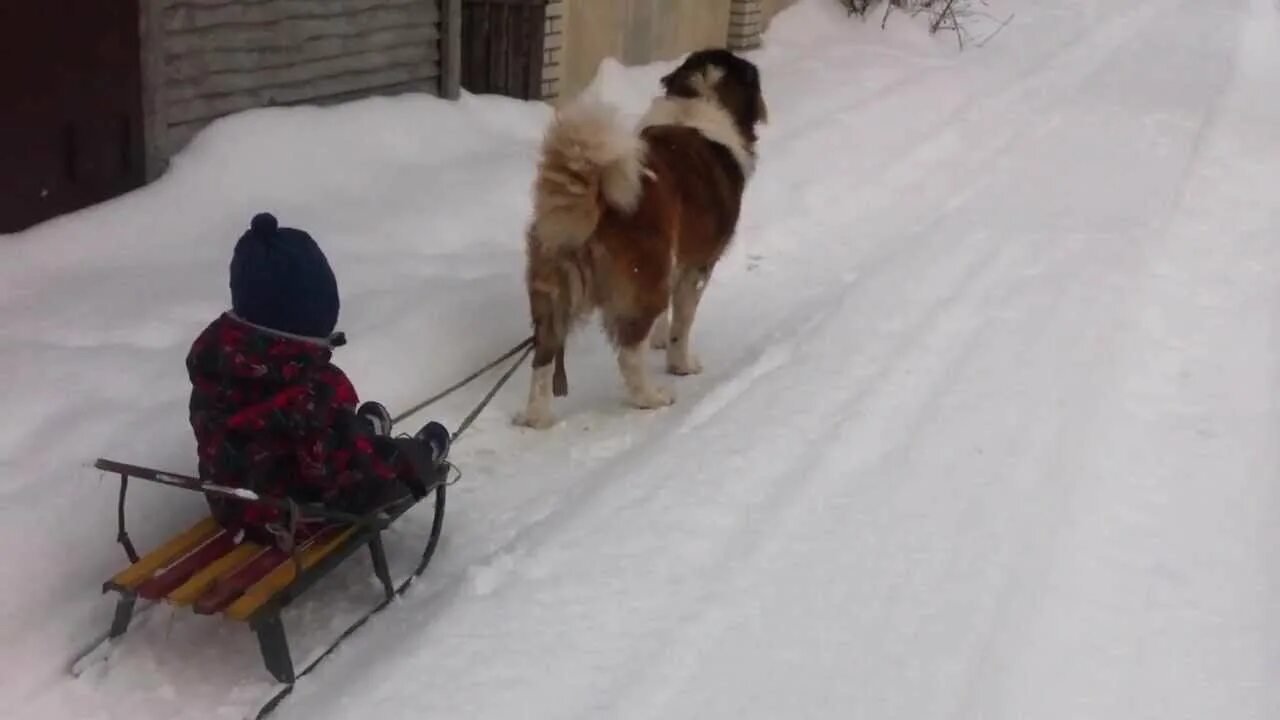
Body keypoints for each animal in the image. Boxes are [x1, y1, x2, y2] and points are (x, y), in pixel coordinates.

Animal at [514, 49, 762, 425]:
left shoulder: (676, 259)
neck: (698, 102)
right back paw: (650, 397)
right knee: (629, 352)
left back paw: (537, 415)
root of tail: (599, 196)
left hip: (552, 291)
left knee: (544, 353)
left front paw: (660, 342)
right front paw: (681, 364)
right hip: (646, 276)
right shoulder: (698, 265)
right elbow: (683, 321)